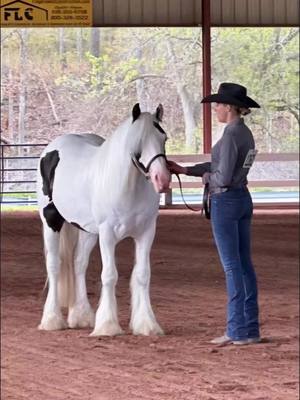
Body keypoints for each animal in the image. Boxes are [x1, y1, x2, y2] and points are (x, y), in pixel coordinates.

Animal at [36, 102, 170, 334]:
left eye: (164, 138)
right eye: (138, 142)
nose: (161, 178)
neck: (126, 187)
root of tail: (52, 148)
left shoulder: (146, 233)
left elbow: (143, 275)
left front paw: (147, 324)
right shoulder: (107, 234)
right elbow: (109, 275)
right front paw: (107, 325)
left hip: (88, 231)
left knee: (79, 264)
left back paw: (81, 317)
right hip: (51, 222)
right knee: (54, 265)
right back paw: (52, 320)